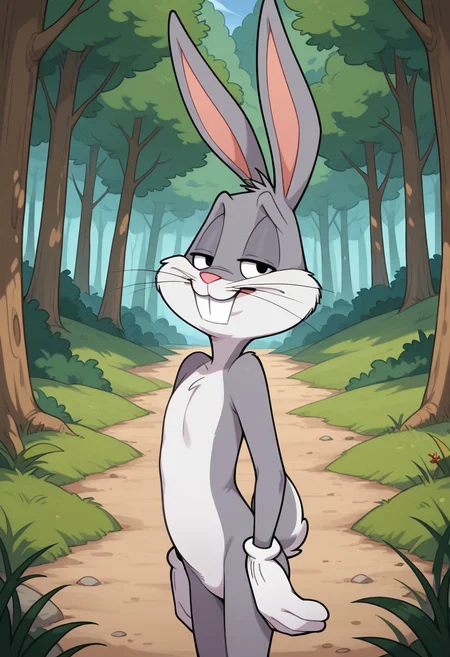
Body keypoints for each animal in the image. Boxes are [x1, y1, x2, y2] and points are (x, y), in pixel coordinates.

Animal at [157, 0, 329, 655]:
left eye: (257, 267)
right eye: (203, 255)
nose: (208, 279)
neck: (221, 361)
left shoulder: (253, 379)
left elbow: (271, 466)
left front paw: (273, 572)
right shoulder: (191, 361)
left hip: (228, 576)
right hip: (200, 582)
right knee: (205, 619)